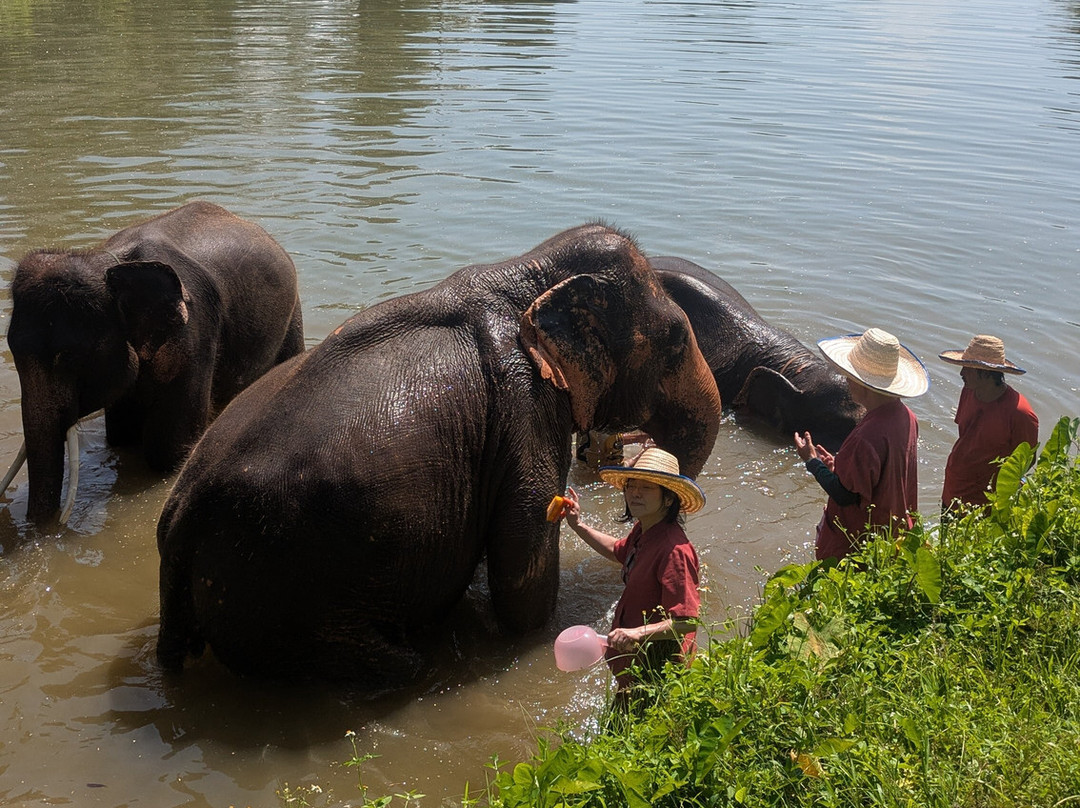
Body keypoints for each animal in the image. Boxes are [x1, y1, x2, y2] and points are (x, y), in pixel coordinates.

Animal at [3, 201, 305, 524]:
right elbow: (120, 434)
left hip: (292, 314)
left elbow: (167, 451)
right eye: (12, 350)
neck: (106, 266)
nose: (47, 529)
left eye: (67, 356)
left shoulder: (193, 334)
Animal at [156, 224, 722, 686]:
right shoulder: (525, 406)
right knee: (392, 664)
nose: (631, 506)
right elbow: (522, 571)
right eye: (677, 340)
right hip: (290, 596)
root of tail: (179, 522)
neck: (530, 270)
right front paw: (550, 630)